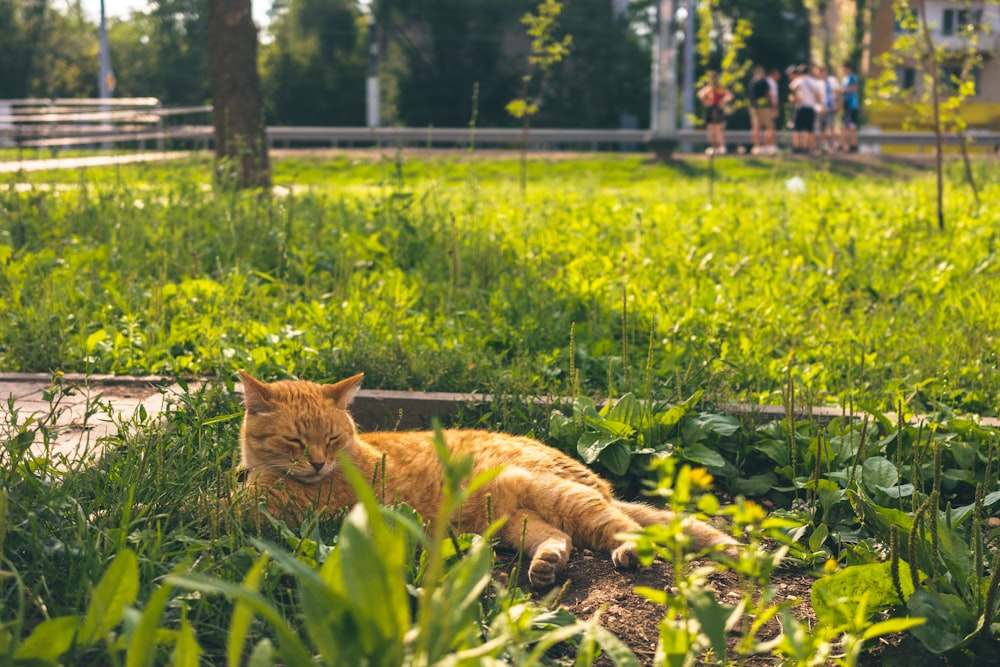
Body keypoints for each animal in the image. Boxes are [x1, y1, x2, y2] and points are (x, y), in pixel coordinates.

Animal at [234, 374, 736, 588]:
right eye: (296, 441)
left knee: (627, 527)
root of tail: (600, 482)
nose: (319, 464)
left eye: (332, 439)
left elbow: (228, 507)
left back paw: (629, 552)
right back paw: (546, 566)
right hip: (515, 523)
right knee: (560, 539)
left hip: (562, 497)